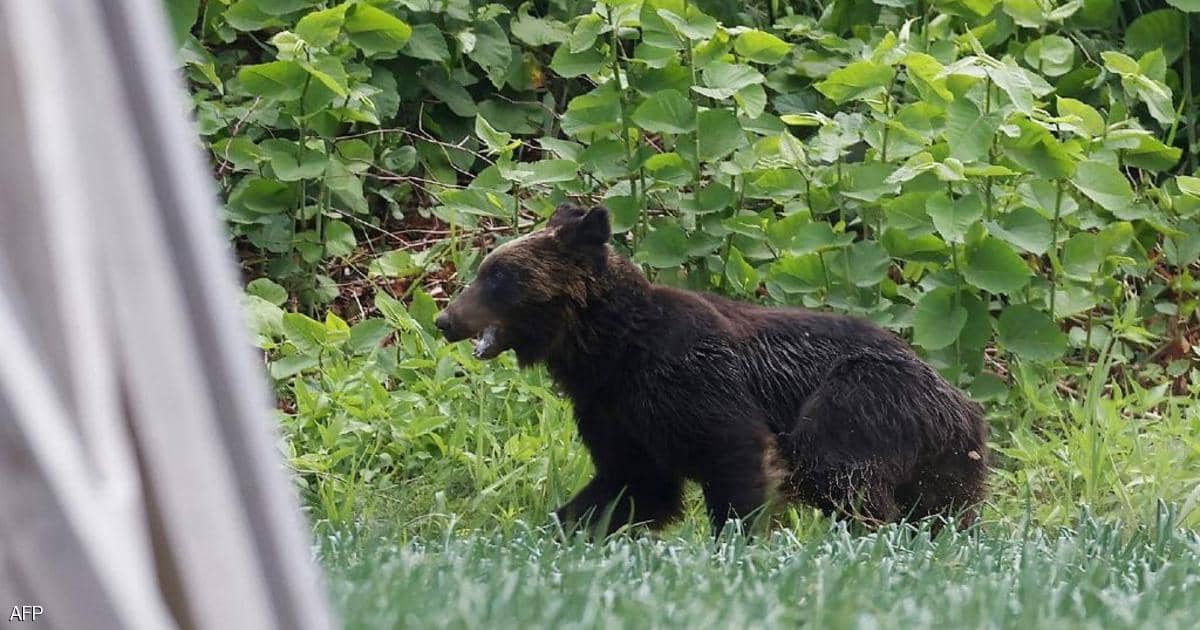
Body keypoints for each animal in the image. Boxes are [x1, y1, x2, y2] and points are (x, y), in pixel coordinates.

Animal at [436, 205, 988, 535]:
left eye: (497, 276)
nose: (444, 319)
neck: (609, 349)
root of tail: (963, 401)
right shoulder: (614, 412)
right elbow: (631, 485)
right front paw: (561, 527)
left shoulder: (692, 380)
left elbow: (735, 456)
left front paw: (738, 540)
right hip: (945, 460)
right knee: (943, 508)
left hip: (864, 397)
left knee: (837, 470)